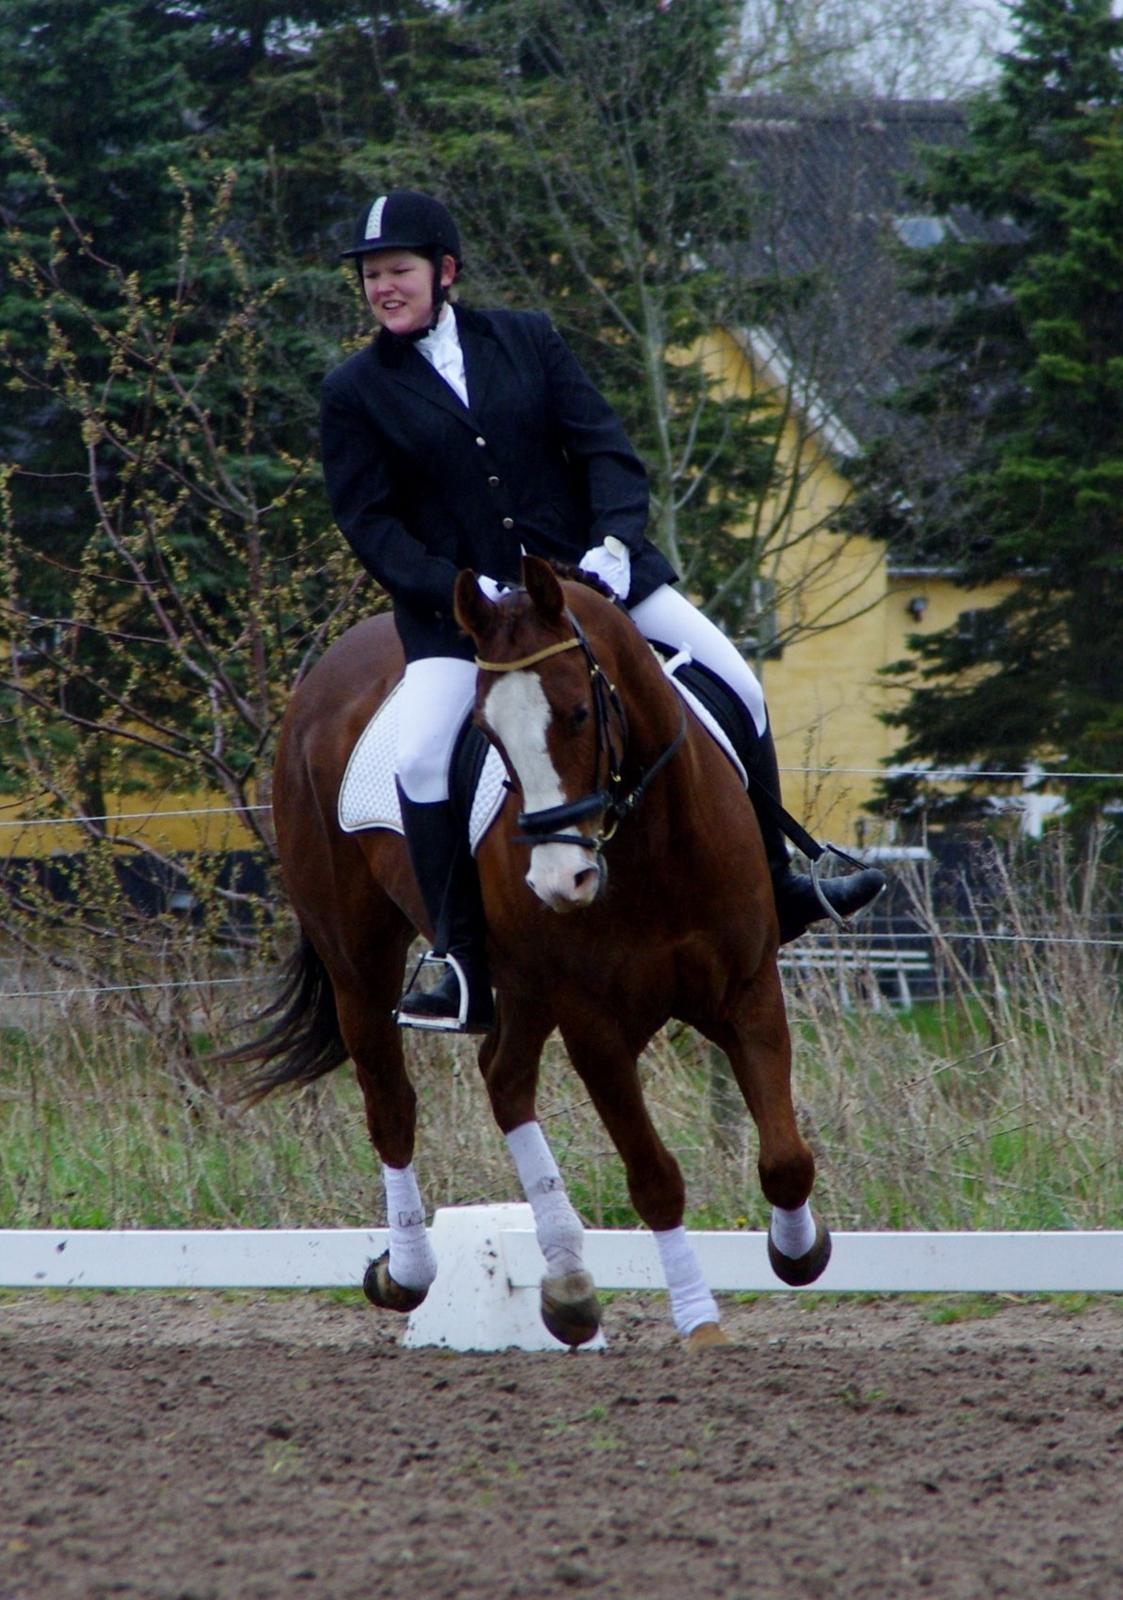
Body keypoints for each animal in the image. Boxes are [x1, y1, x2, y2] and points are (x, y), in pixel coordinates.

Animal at [241, 563, 831, 1350]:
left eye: (580, 714)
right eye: (489, 733)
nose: (559, 882)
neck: (649, 848)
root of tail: (327, 673)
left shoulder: (747, 989)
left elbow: (786, 1159)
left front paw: (799, 1253)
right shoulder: (593, 1025)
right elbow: (654, 1179)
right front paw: (699, 1321)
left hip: (520, 985)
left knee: (503, 1078)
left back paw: (567, 1282)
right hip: (358, 964)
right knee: (391, 1103)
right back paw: (409, 1272)